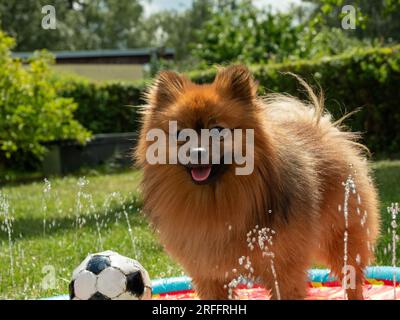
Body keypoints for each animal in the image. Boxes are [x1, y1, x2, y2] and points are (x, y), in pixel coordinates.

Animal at [136, 65, 380, 300]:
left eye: (217, 131)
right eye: (181, 134)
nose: (197, 152)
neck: (215, 202)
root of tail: (320, 128)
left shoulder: (283, 269)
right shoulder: (210, 274)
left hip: (342, 239)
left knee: (353, 281)